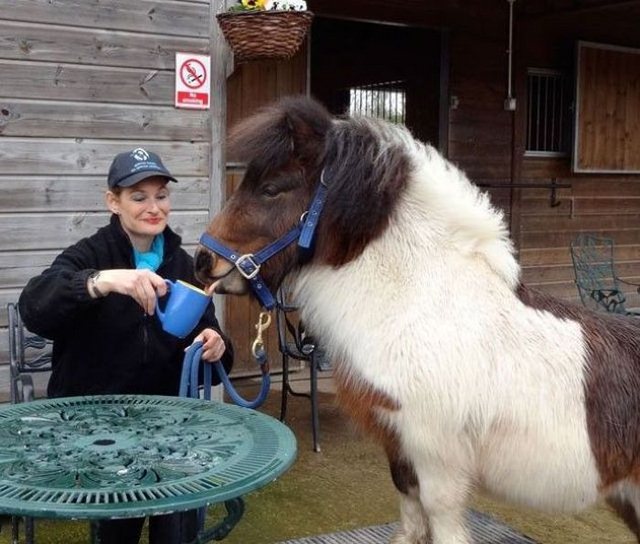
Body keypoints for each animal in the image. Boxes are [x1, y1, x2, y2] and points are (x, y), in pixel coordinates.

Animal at [194, 95, 640, 544]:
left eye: (271, 188)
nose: (203, 261)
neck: (421, 305)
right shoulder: (399, 443)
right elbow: (409, 508)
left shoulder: (435, 455)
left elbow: (440, 518)